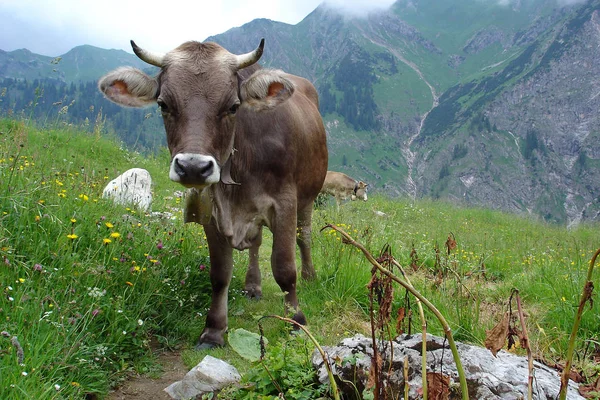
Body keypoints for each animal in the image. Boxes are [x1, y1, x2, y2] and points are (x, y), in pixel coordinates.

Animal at [98, 39, 328, 348]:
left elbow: (283, 268)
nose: (193, 167)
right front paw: (214, 330)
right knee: (256, 244)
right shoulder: (212, 208)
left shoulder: (285, 203)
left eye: (233, 106)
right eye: (163, 104)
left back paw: (310, 275)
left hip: (307, 198)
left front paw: (296, 321)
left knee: (304, 239)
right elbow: (220, 274)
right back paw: (252, 285)